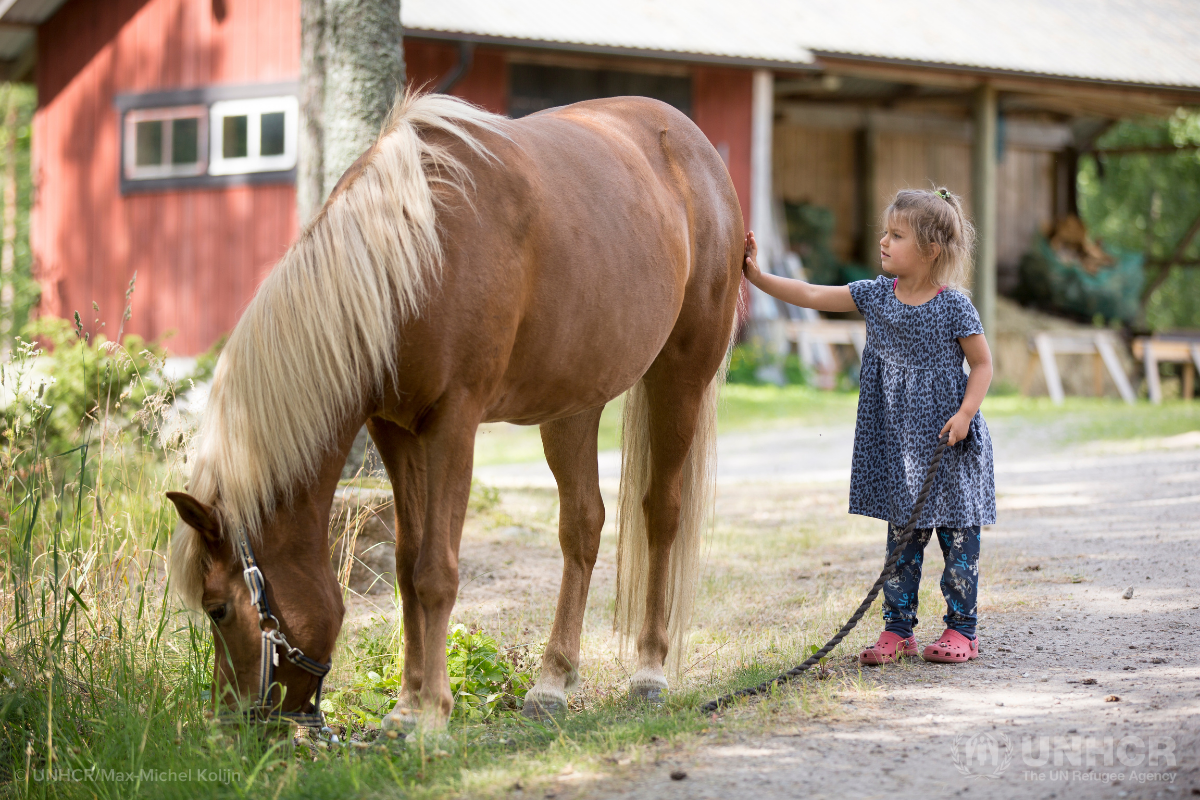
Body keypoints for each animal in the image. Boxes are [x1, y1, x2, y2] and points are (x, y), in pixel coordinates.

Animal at [163, 92, 739, 724]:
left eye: (217, 608)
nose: (232, 721)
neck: (413, 257)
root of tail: (692, 144)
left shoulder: (453, 424)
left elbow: (435, 571)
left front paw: (430, 714)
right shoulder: (394, 431)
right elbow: (406, 567)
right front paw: (406, 704)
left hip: (679, 379)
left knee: (661, 514)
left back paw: (649, 670)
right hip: (572, 407)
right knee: (583, 526)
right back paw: (552, 681)